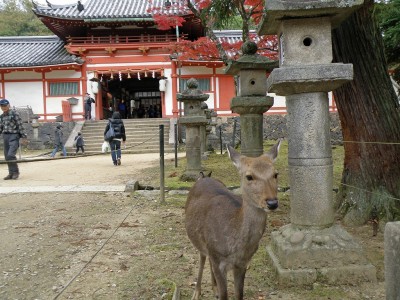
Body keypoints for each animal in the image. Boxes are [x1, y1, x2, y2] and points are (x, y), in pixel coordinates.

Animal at [185, 141, 282, 300]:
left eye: (275, 174)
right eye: (249, 176)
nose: (272, 203)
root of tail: (203, 178)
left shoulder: (242, 264)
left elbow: (239, 294)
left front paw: (217, 290)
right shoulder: (218, 259)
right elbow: (225, 295)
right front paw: (213, 292)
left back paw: (214, 289)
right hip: (201, 242)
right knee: (202, 257)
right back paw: (197, 292)